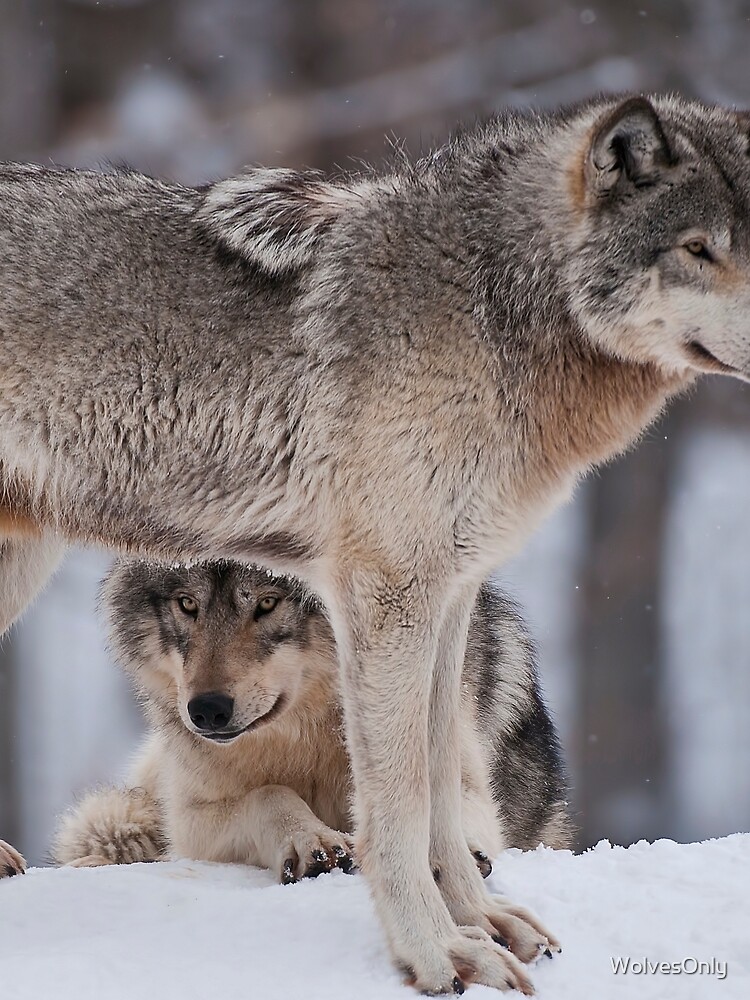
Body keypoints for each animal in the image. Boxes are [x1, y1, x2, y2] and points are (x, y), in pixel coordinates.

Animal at [52, 561, 571, 882]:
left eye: (267, 603)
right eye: (187, 604)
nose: (208, 710)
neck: (307, 734)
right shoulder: (191, 819)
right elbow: (269, 794)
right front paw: (311, 840)